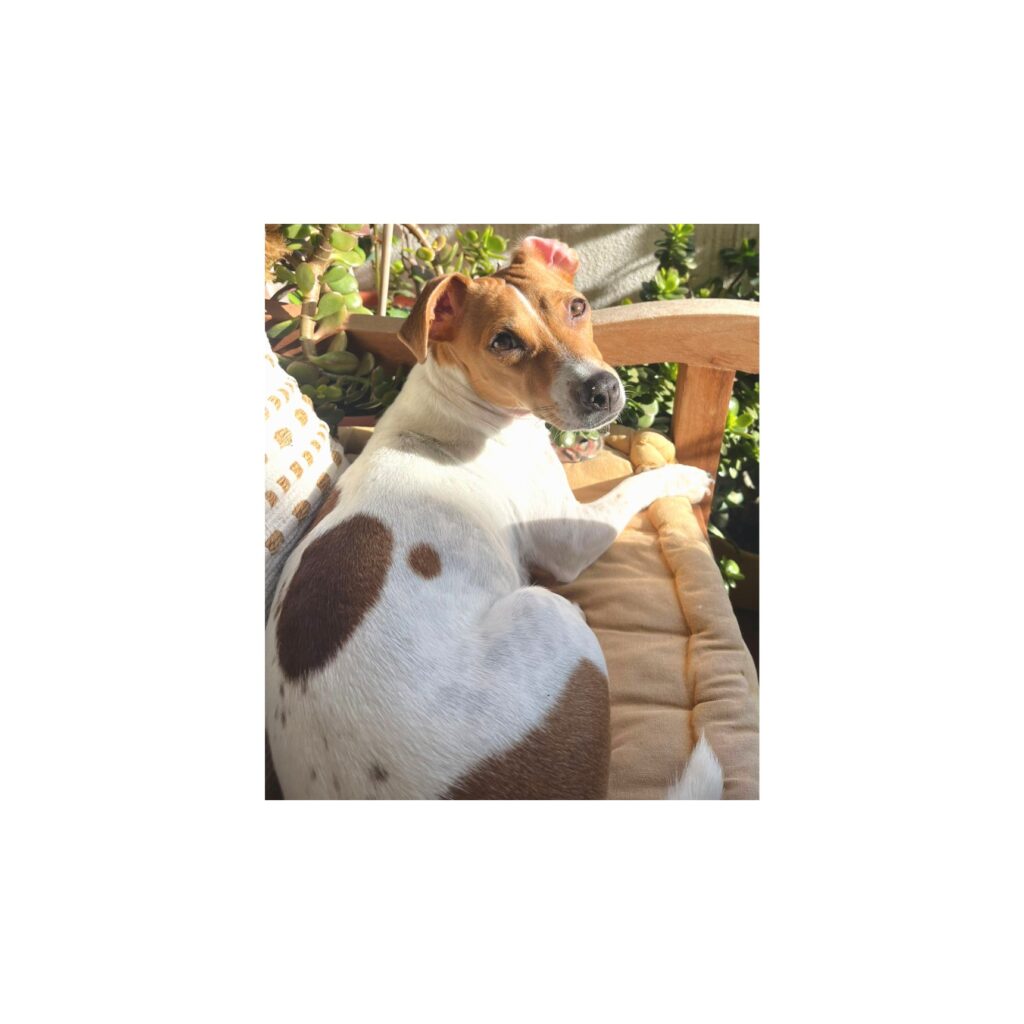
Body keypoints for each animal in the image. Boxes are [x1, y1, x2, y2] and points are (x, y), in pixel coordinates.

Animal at [266, 236, 723, 799]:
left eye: (578, 307)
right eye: (504, 341)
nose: (602, 390)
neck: (459, 404)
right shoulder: (572, 536)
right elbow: (634, 484)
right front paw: (683, 476)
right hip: (548, 613)